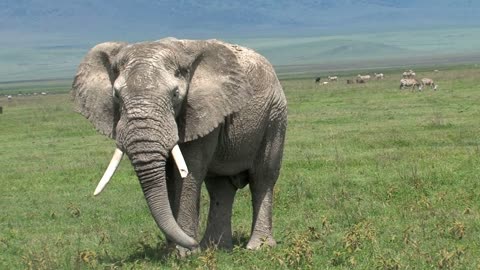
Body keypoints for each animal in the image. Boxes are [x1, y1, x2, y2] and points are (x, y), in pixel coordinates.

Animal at [71, 38, 286, 253]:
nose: (192, 243)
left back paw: (258, 247)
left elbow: (188, 173)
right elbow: (168, 178)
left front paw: (186, 254)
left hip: (274, 117)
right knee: (220, 187)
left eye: (175, 94)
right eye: (116, 95)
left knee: (262, 178)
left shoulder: (199, 112)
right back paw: (216, 248)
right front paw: (172, 253)